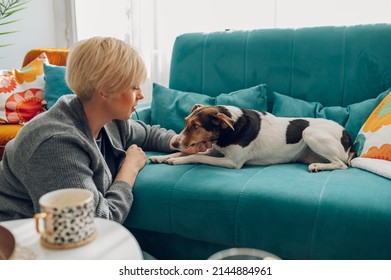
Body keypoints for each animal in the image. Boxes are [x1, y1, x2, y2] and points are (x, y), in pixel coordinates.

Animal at [149, 104, 356, 172]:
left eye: (196, 126)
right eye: (186, 122)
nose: (175, 142)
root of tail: (347, 135)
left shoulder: (232, 162)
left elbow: (195, 156)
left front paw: (175, 161)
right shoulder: (216, 150)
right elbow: (184, 153)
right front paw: (162, 157)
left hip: (310, 133)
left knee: (341, 165)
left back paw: (317, 166)